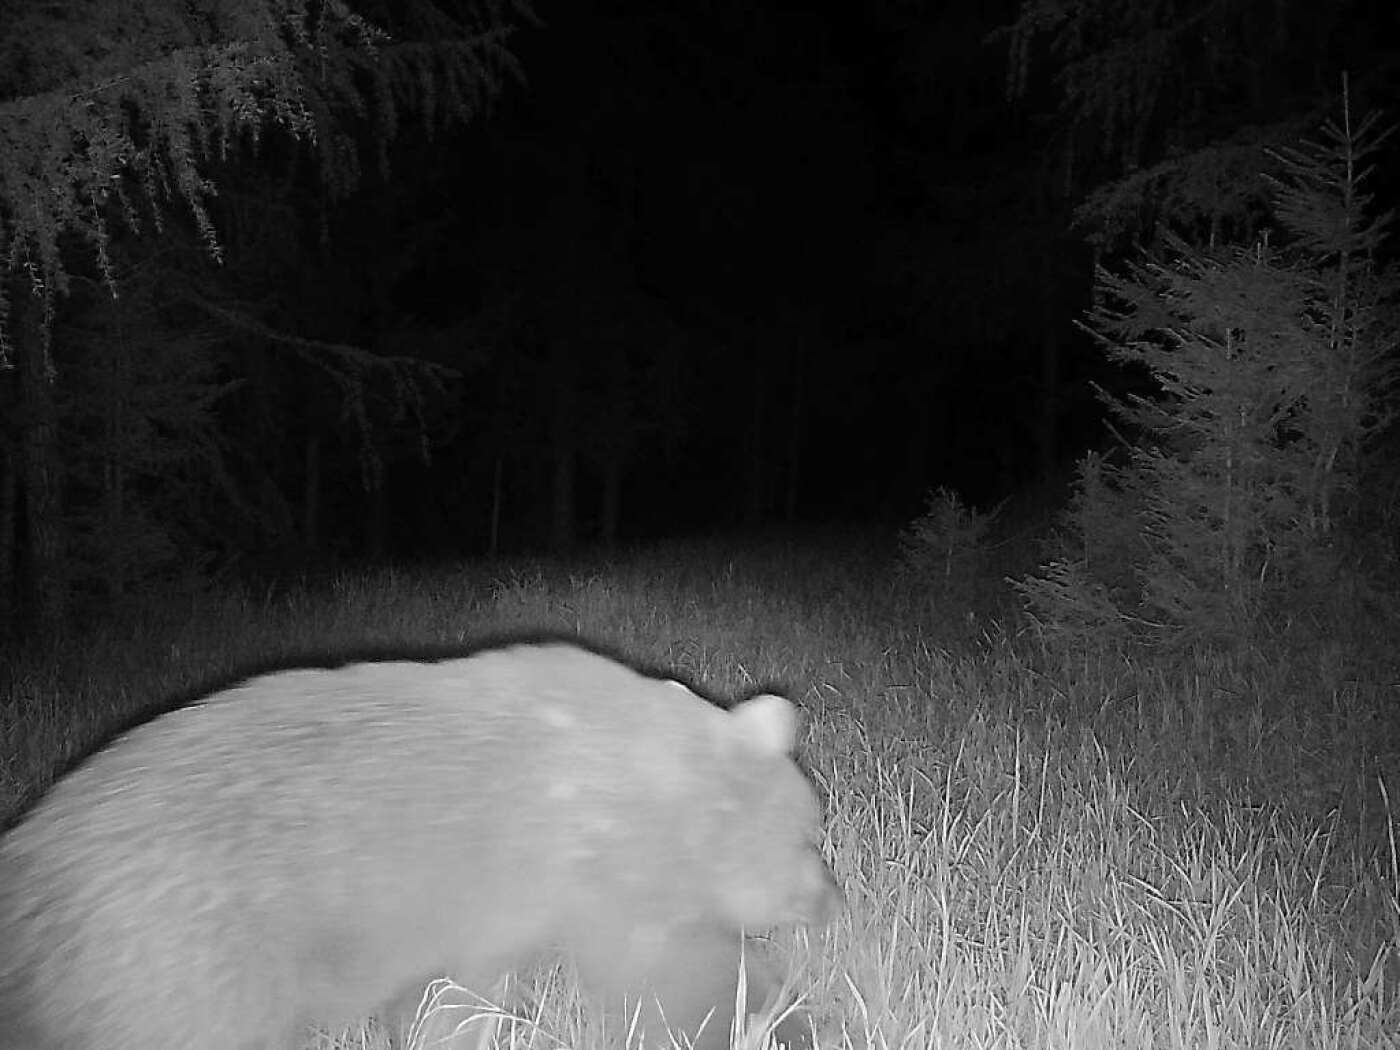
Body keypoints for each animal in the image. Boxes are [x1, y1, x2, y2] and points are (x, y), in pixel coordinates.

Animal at [0, 642, 839, 1050]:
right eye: (808, 834)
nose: (831, 903)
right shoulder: (589, 876)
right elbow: (682, 977)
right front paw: (787, 1024)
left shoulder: (487, 912)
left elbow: (450, 994)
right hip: (177, 970)